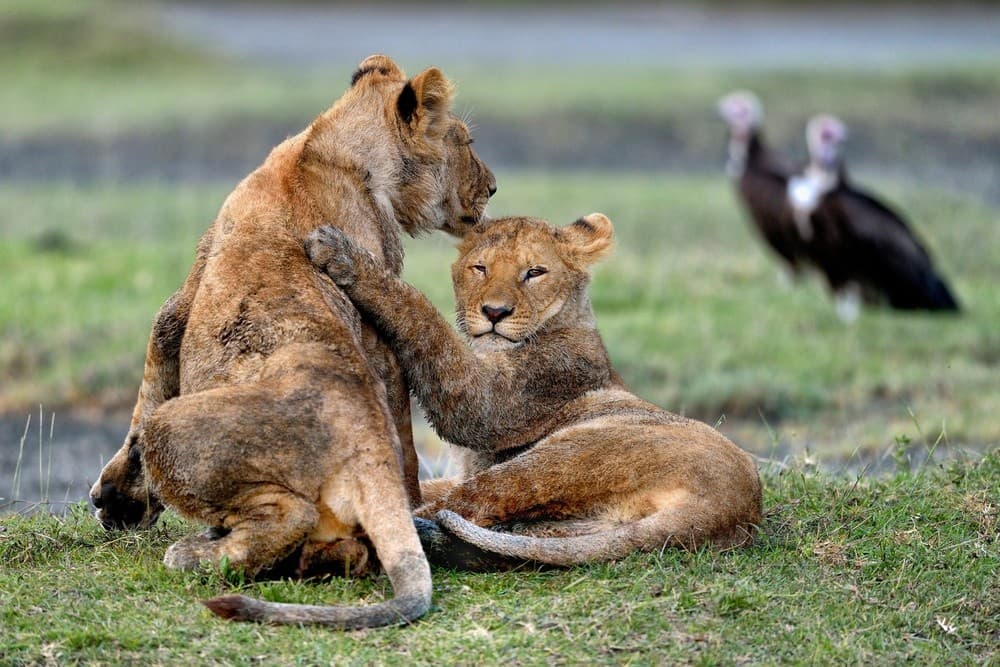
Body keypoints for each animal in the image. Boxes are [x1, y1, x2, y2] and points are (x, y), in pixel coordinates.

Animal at [89, 54, 496, 628]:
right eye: (465, 141)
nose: (493, 187)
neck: (329, 148)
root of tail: (364, 447)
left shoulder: (185, 299)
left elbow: (150, 381)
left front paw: (119, 500)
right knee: (348, 549)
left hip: (173, 430)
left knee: (287, 514)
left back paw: (195, 553)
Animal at [305, 213, 763, 570]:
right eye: (480, 268)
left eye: (535, 272)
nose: (495, 312)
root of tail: (734, 508)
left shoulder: (491, 399)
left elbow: (425, 320)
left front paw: (345, 257)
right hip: (576, 525)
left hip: (572, 453)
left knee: (476, 500)